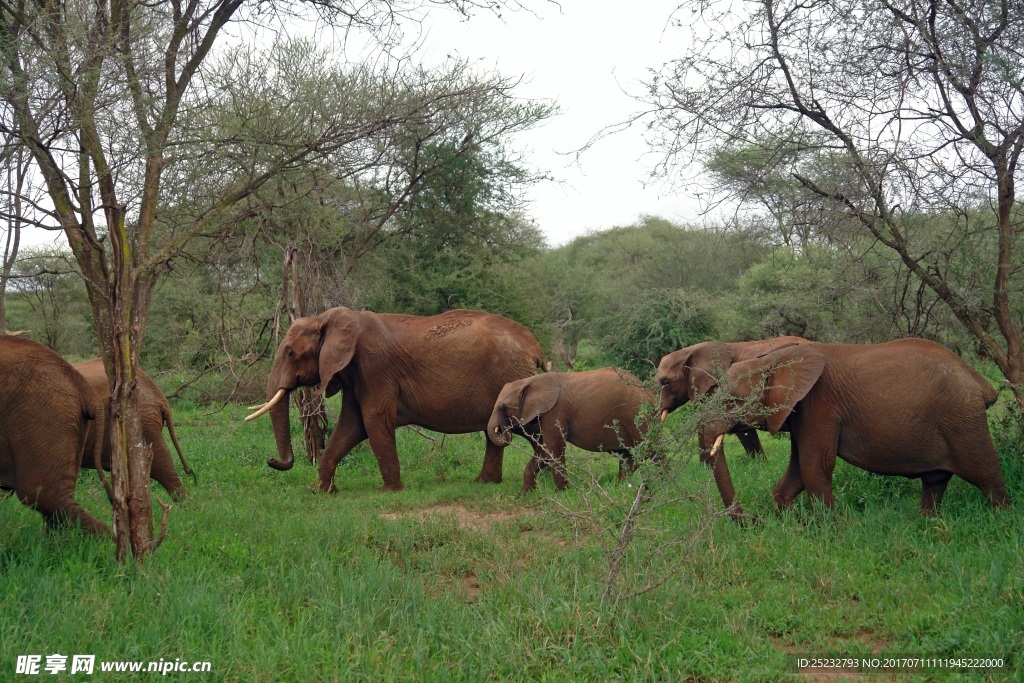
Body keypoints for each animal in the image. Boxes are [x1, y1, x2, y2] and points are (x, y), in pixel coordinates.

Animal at [246, 309, 548, 491]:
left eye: (291, 354)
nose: (272, 460)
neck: (330, 318)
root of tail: (534, 346)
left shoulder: (373, 367)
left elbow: (374, 420)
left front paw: (389, 491)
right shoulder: (356, 374)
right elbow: (351, 426)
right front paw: (320, 491)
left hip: (513, 378)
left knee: (530, 428)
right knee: (495, 432)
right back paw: (485, 483)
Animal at [487, 368, 655, 491]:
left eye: (503, 406)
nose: (502, 429)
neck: (530, 381)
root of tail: (650, 394)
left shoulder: (555, 411)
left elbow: (554, 448)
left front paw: (562, 492)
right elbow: (545, 451)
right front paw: (525, 492)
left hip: (637, 415)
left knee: (649, 451)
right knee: (629, 455)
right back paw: (621, 487)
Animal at [659, 335, 1011, 518]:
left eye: (733, 401)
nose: (751, 522)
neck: (775, 360)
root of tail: (981, 384)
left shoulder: (819, 406)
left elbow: (814, 465)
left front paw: (826, 527)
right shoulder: (798, 411)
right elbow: (799, 466)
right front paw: (787, 517)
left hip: (962, 418)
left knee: (986, 474)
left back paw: (1002, 522)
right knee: (935, 480)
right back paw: (926, 523)